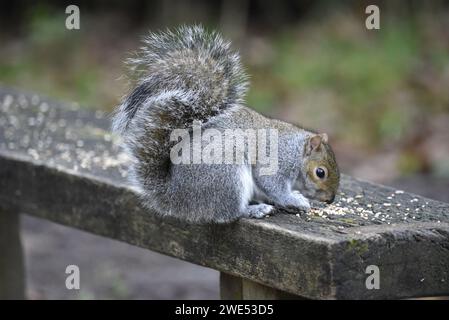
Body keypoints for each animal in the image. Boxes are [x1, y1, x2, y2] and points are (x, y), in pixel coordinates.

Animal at [113, 25, 340, 222]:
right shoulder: (276, 161)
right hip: (227, 177)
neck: (296, 150)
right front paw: (295, 199)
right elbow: (273, 186)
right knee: (229, 212)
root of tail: (176, 198)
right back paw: (255, 209)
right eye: (320, 172)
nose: (330, 199)